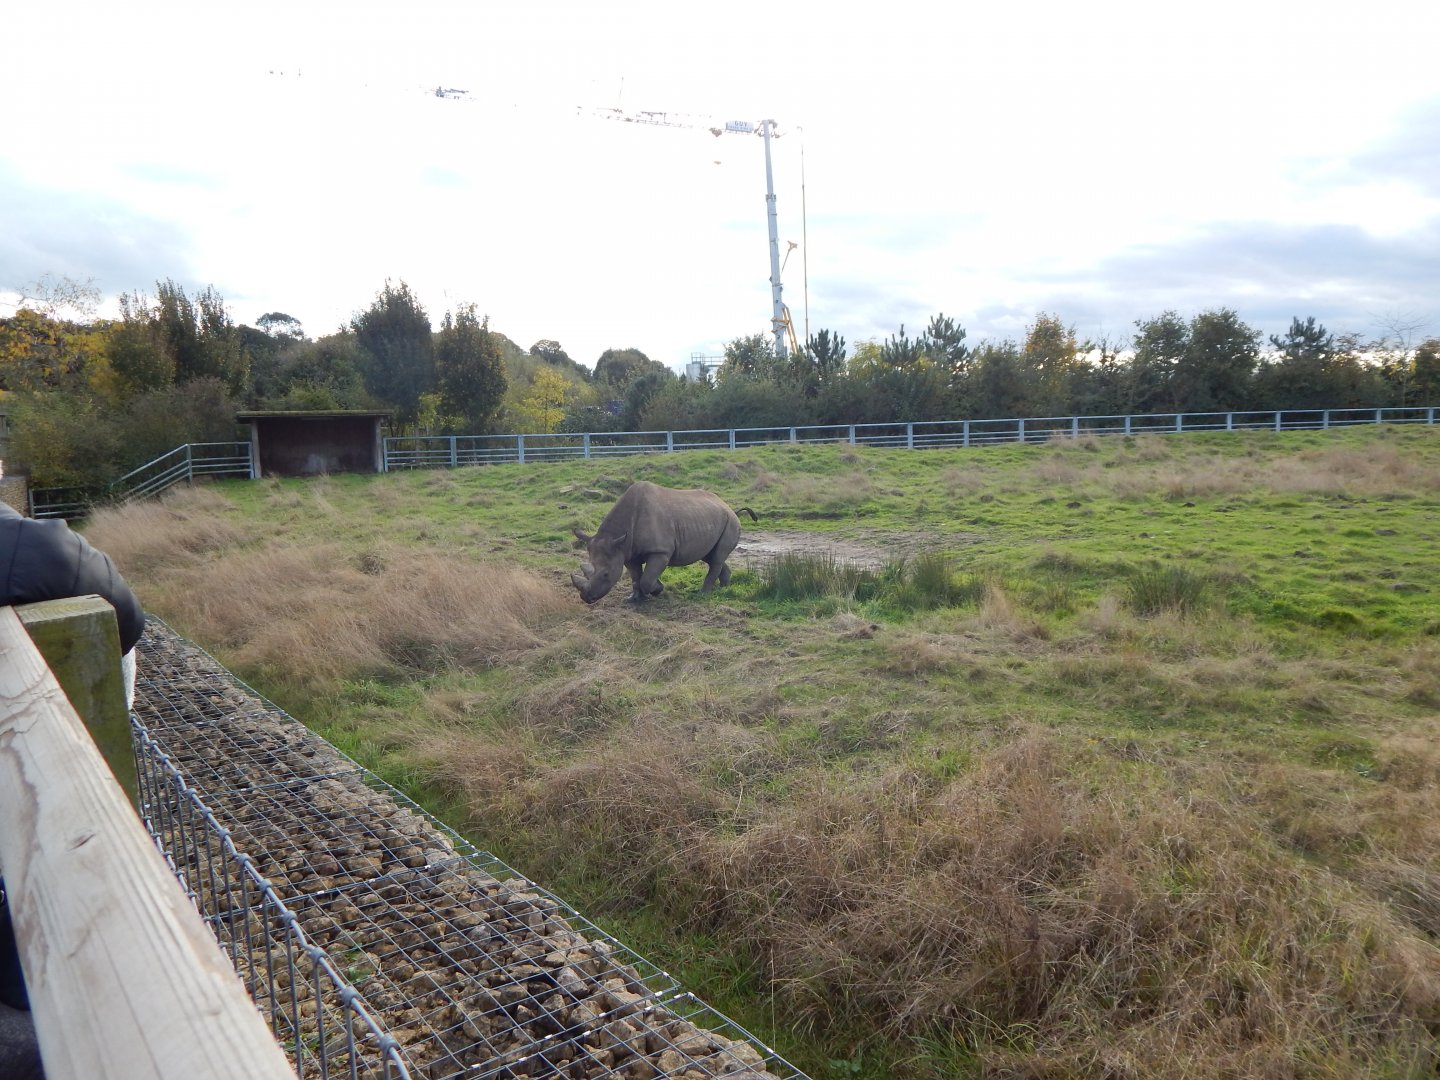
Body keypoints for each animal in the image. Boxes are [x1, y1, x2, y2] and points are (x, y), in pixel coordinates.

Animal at [570, 481, 758, 604]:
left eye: (606, 574)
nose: (586, 598)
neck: (616, 537)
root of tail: (728, 507)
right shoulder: (627, 551)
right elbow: (636, 577)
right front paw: (633, 599)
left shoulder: (660, 551)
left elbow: (646, 580)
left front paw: (658, 589)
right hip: (710, 520)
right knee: (711, 556)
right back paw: (723, 589)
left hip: (730, 522)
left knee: (717, 558)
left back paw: (702, 595)